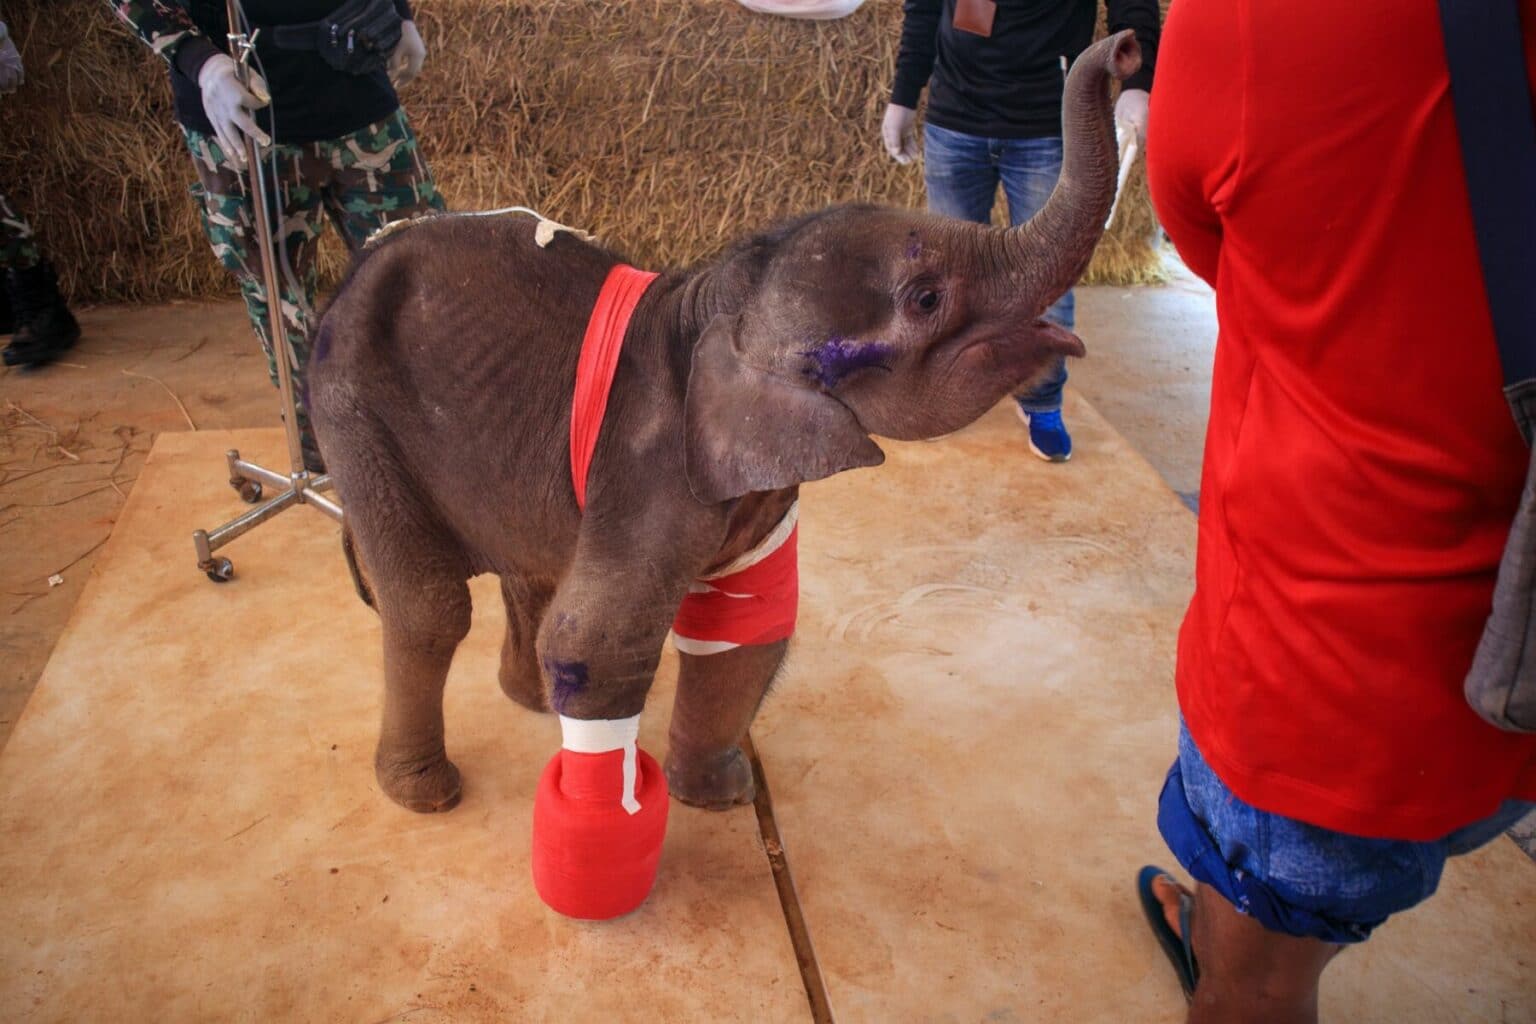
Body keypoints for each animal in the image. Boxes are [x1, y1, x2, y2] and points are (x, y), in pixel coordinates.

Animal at [308, 32, 1142, 822]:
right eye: (927, 298)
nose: (1127, 50)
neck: (719, 303)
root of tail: (355, 267)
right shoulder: (648, 467)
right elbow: (598, 643)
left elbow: (750, 626)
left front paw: (723, 797)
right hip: (352, 415)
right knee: (430, 607)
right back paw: (427, 793)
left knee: (529, 568)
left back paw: (532, 704)